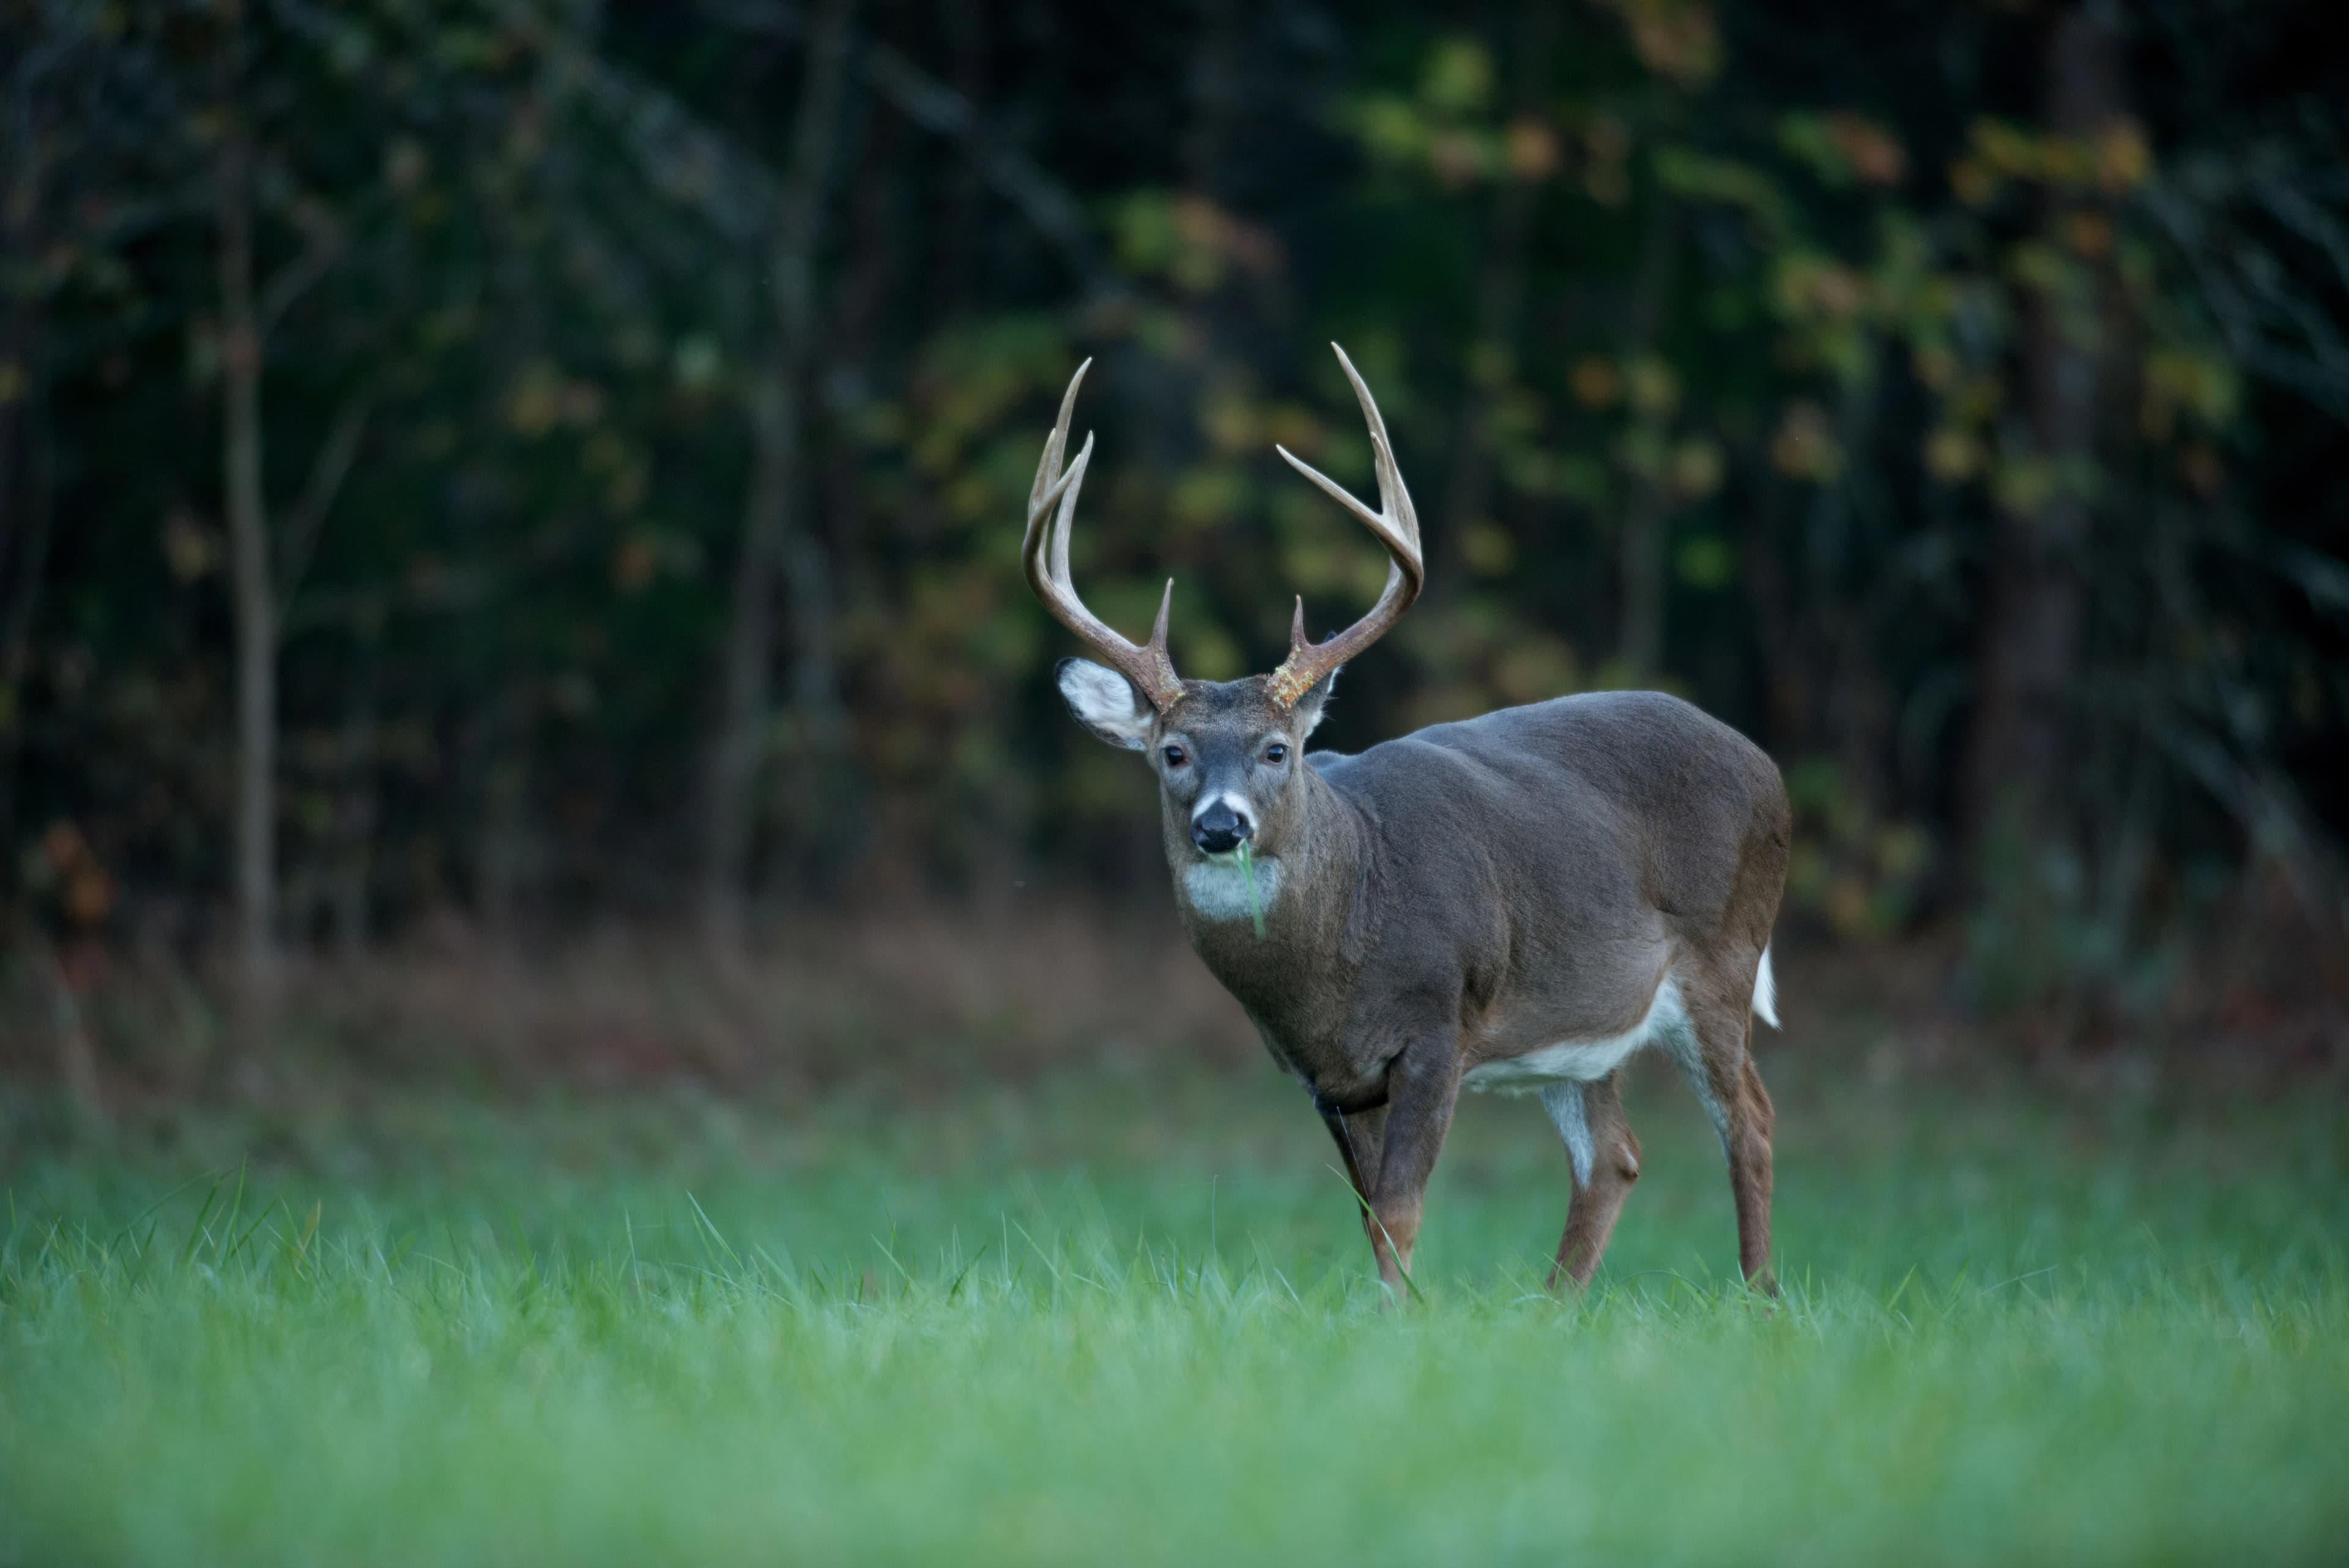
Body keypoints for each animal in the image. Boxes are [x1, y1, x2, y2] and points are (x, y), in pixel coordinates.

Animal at [1024, 345, 1790, 1297]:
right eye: (1172, 752)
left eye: (1279, 749)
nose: (1221, 826)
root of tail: (1765, 764)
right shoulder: (1328, 1079)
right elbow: (1368, 1217)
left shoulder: (1437, 1026)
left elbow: (1400, 1210)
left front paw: (1401, 1316)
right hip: (1579, 1020)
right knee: (1614, 1155)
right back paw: (1552, 1307)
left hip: (1724, 957)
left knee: (1751, 1123)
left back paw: (1757, 1298)